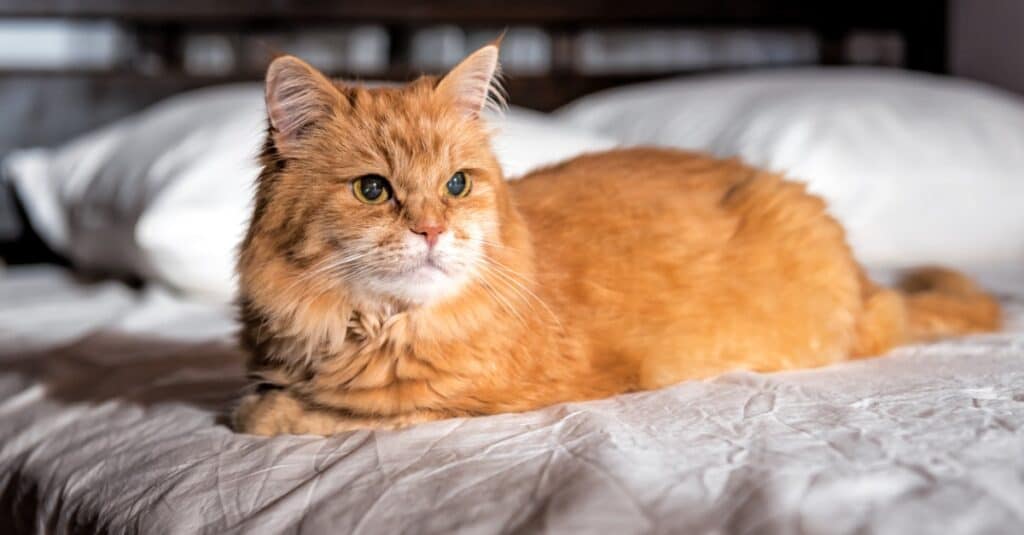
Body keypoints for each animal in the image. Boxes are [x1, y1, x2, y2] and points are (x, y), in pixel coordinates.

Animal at [230, 41, 999, 432]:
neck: (372, 327)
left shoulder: (472, 400)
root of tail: (872, 286)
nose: (431, 229)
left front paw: (263, 409)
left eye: (456, 184)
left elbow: (321, 413)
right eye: (372, 190)